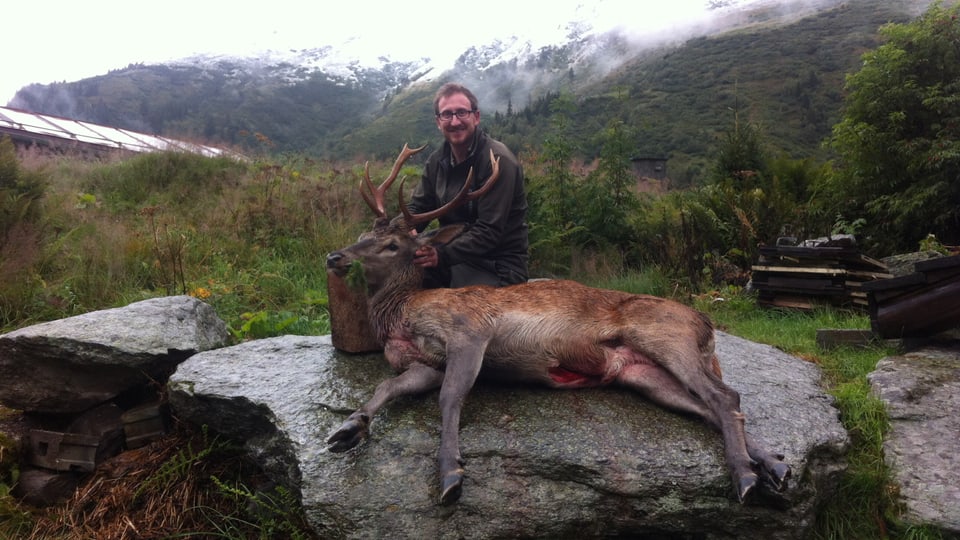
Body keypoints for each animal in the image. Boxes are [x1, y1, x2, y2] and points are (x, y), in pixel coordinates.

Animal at [326, 144, 792, 506]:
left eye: (392, 245)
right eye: (364, 234)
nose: (335, 256)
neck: (402, 313)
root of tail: (707, 324)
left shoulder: (469, 329)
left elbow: (450, 397)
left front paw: (450, 474)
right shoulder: (424, 363)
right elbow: (388, 385)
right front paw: (349, 427)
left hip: (665, 334)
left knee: (725, 395)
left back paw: (746, 477)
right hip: (641, 373)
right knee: (709, 406)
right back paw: (774, 466)